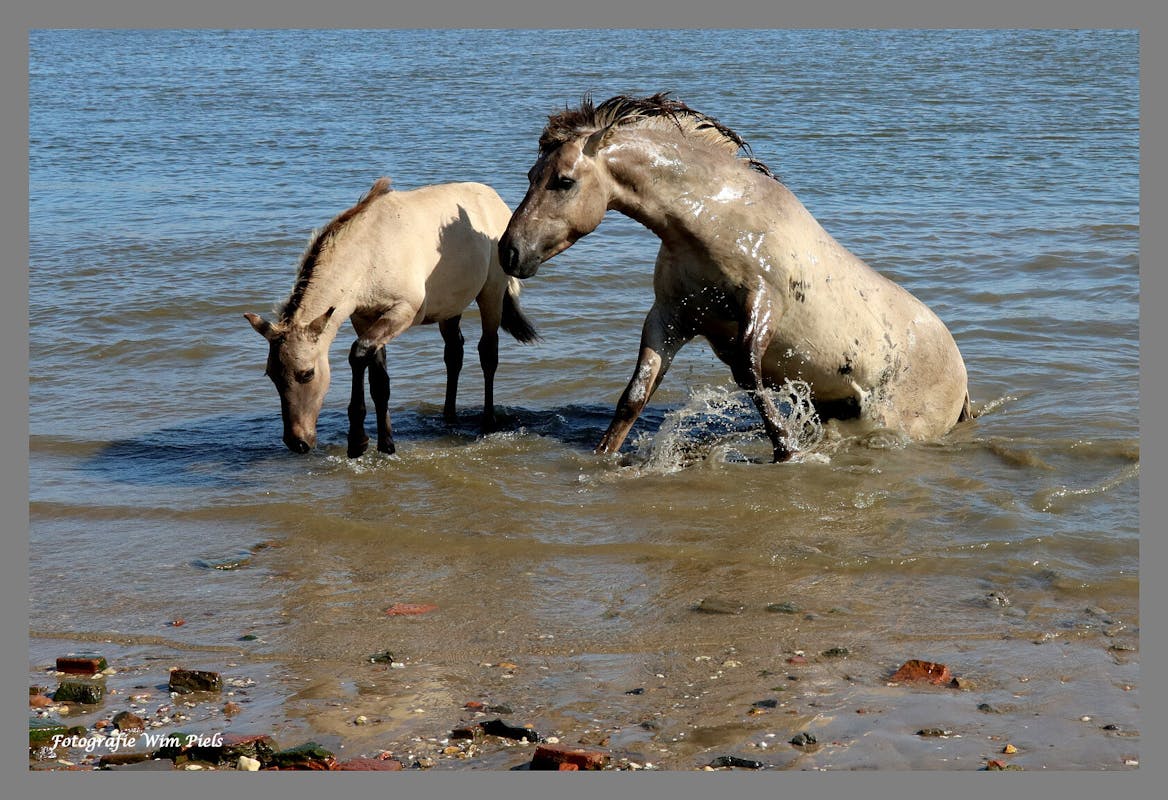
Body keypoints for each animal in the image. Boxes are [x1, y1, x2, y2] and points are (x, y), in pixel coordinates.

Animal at [246, 177, 539, 458]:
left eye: (307, 374)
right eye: (272, 375)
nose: (297, 442)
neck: (368, 255)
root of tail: (495, 200)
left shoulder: (403, 312)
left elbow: (358, 354)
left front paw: (358, 442)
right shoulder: (365, 318)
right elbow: (379, 382)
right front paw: (385, 444)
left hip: (492, 292)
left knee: (488, 353)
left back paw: (488, 422)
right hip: (451, 306)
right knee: (454, 354)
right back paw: (448, 417)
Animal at [499, 93, 971, 462]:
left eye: (563, 181)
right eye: (531, 176)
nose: (510, 251)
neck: (715, 217)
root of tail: (961, 377)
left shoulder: (763, 301)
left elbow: (749, 375)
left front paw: (786, 450)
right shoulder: (670, 317)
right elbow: (634, 395)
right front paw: (604, 455)